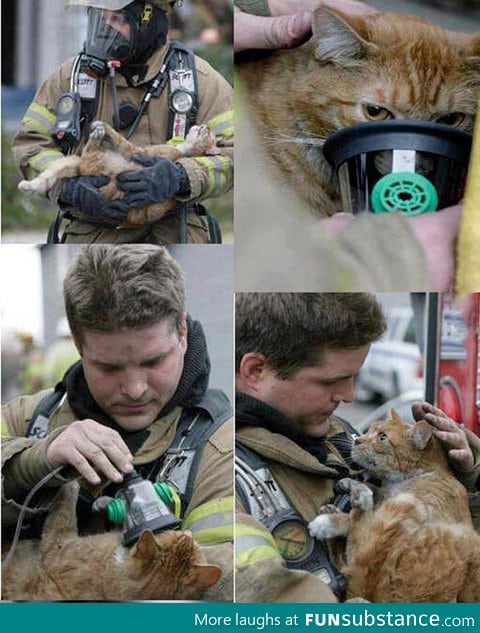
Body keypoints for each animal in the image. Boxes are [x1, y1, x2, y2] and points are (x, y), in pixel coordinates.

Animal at [17, 120, 218, 227]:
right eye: (211, 134)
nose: (207, 126)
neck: (185, 151)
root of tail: (81, 166)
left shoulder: (135, 150)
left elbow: (119, 137)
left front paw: (104, 127)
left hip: (95, 158)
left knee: (91, 148)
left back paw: (97, 133)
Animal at [308, 410, 480, 604]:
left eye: (382, 437)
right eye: (369, 430)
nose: (357, 440)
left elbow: (363, 529)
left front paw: (332, 520)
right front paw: (350, 483)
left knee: (359, 555)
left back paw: (334, 514)